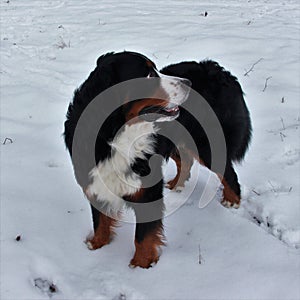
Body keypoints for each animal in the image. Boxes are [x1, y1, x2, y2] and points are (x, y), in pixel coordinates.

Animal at [64, 50, 252, 268]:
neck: (114, 137)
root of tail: (218, 69)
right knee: (185, 160)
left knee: (228, 173)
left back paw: (232, 201)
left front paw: (141, 265)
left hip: (207, 144)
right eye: (147, 74)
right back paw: (176, 185)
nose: (188, 83)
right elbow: (100, 221)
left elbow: (143, 236)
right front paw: (96, 246)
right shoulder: (94, 181)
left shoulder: (148, 191)